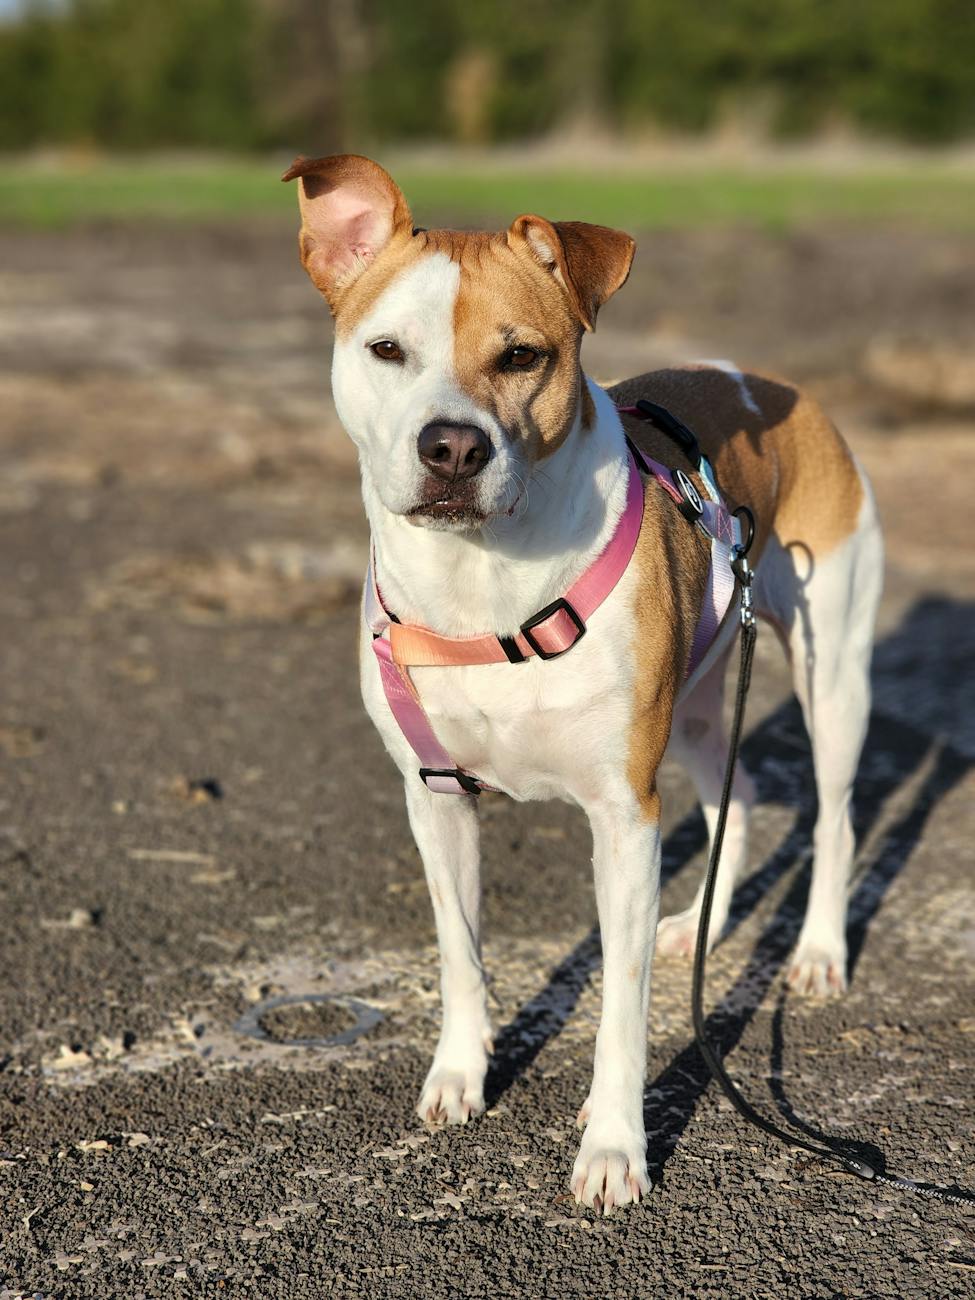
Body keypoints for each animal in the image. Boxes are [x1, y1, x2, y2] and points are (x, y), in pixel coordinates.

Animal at [283, 154, 884, 1212]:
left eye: (522, 356)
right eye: (386, 349)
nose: (451, 447)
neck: (481, 581)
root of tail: (775, 387)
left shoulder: (623, 815)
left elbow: (620, 1006)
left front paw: (613, 1147)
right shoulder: (435, 799)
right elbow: (460, 954)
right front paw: (460, 1075)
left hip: (831, 675)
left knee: (837, 809)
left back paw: (815, 953)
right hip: (698, 703)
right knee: (742, 793)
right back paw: (699, 928)